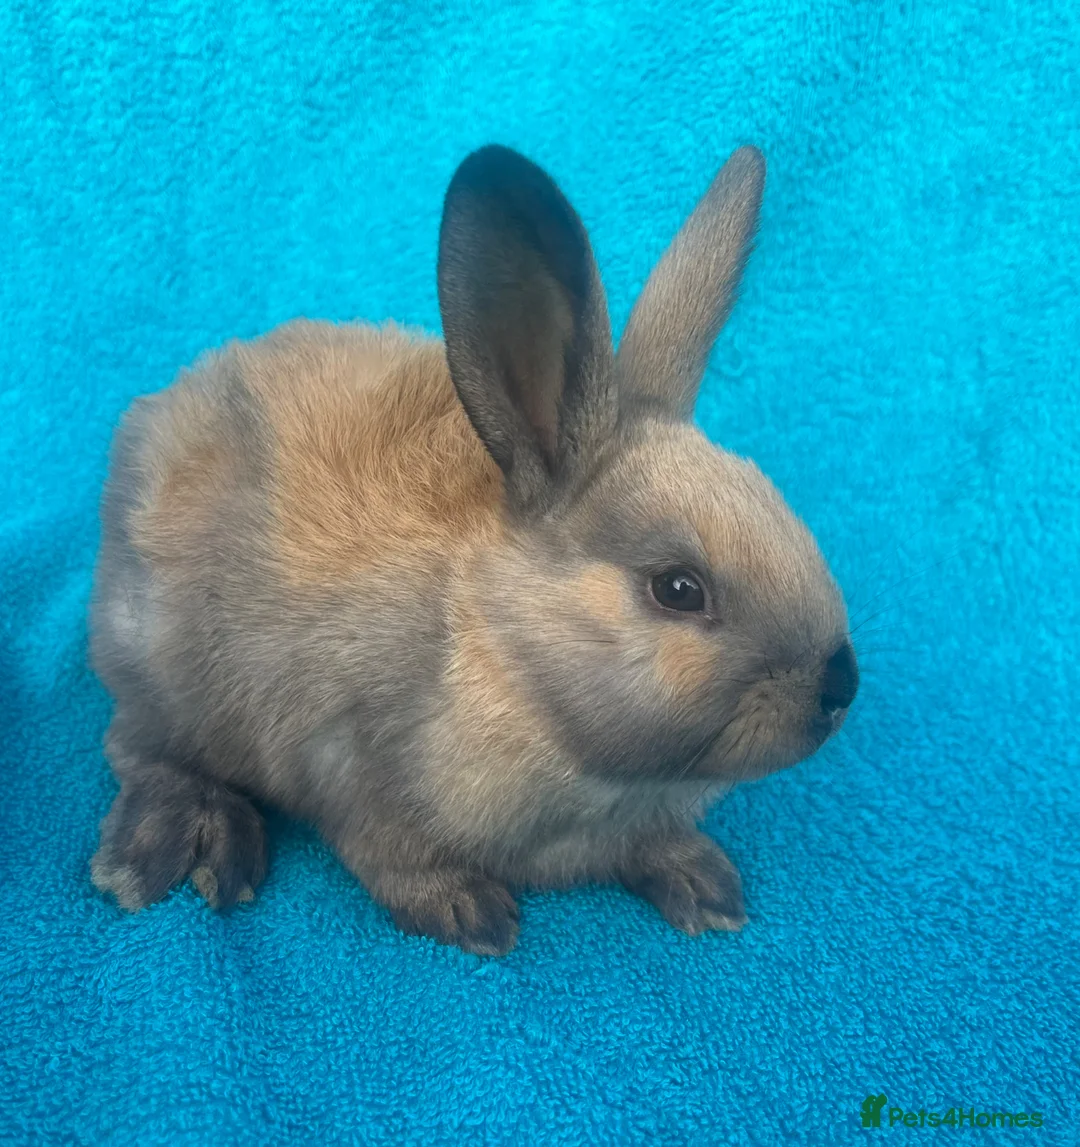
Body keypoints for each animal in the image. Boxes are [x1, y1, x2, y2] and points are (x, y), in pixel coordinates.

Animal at [88, 143, 858, 956]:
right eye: (678, 588)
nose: (840, 684)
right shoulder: (355, 767)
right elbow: (392, 856)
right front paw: (468, 912)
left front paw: (705, 887)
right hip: (162, 671)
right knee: (137, 749)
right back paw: (178, 845)